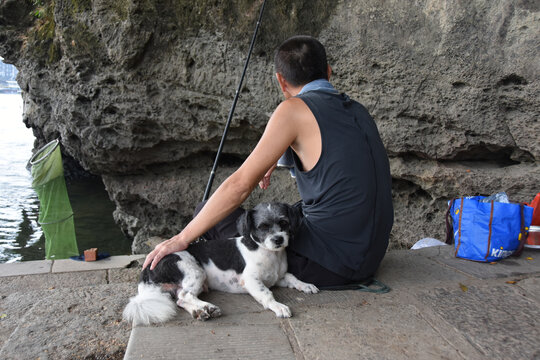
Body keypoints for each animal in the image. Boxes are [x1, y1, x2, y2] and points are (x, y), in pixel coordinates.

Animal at [124, 202, 318, 326]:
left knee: (181, 299)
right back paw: (206, 307)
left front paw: (306, 285)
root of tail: (147, 270)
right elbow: (267, 294)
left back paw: (202, 311)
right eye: (263, 226)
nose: (278, 239)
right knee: (185, 295)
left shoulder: (278, 277)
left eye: (284, 222)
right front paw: (278, 306)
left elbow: (293, 278)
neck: (270, 254)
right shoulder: (251, 281)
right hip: (195, 271)